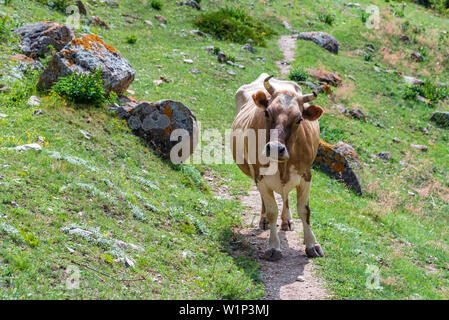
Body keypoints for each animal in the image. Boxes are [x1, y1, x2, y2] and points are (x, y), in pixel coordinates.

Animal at [229, 72, 324, 260]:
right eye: (267, 112)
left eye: (299, 119)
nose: (274, 148)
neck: (283, 165)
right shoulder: (260, 176)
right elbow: (272, 210)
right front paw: (273, 246)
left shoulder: (306, 175)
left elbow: (304, 210)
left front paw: (312, 245)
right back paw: (264, 220)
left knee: (285, 198)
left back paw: (287, 220)